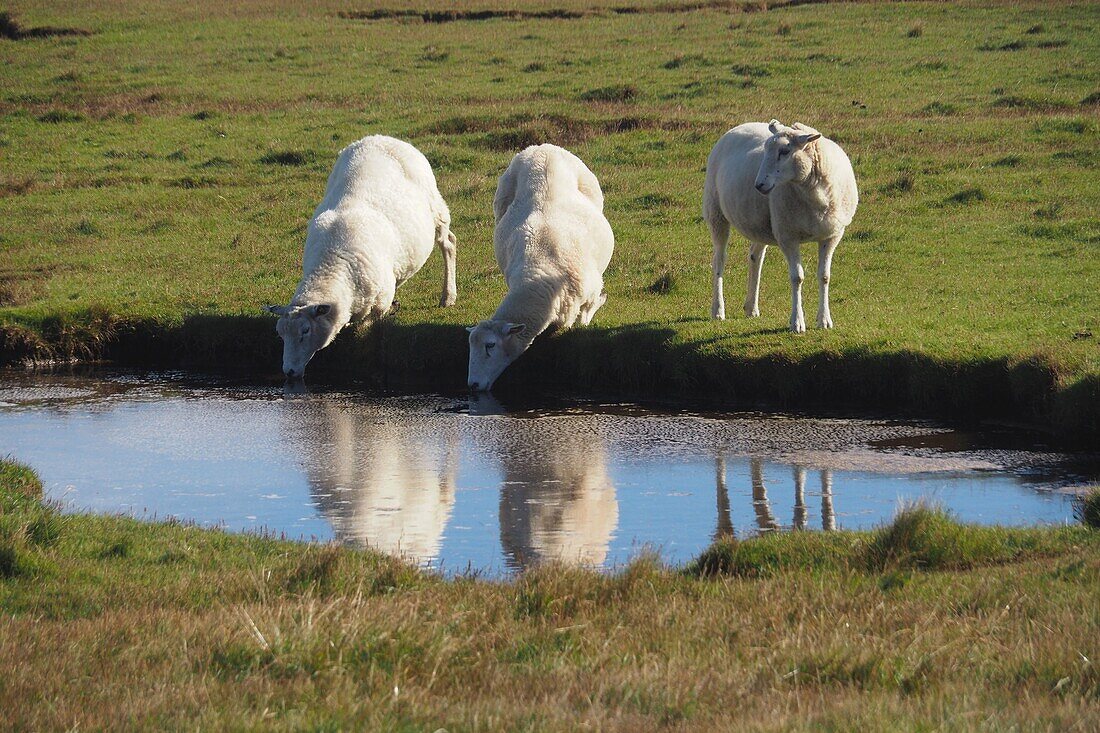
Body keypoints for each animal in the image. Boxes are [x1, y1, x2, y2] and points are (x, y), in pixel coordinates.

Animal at [266, 134, 455, 378]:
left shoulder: (377, 304)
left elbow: (365, 328)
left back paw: (448, 296)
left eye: (305, 331)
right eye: (280, 334)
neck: (333, 261)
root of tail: (381, 137)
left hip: (437, 211)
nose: (289, 371)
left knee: (448, 244)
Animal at [468, 144, 616, 394]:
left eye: (490, 345)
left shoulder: (589, 288)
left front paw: (584, 323)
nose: (473, 385)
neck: (540, 270)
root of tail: (541, 148)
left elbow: (587, 309)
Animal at [704, 120, 858, 334]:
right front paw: (797, 322)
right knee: (719, 260)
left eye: (785, 151)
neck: (815, 195)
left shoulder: (832, 235)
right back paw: (718, 310)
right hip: (716, 212)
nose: (759, 185)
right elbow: (797, 278)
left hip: (759, 224)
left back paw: (751, 307)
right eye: (766, 149)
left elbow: (825, 276)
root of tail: (741, 125)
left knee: (755, 257)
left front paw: (824, 320)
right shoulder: (788, 236)